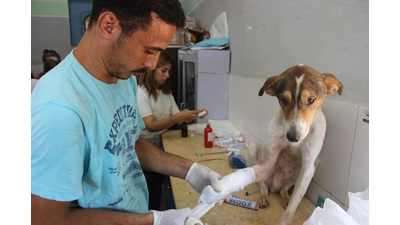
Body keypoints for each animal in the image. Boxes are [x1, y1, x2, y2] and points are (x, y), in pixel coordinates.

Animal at [245, 64, 342, 224]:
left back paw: (285, 198)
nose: (292, 137)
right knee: (262, 183)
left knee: (284, 190)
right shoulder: (271, 155)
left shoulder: (308, 166)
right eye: (283, 100)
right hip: (253, 148)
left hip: (314, 164)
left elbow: (292, 207)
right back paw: (264, 195)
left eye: (311, 100)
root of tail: (275, 185)